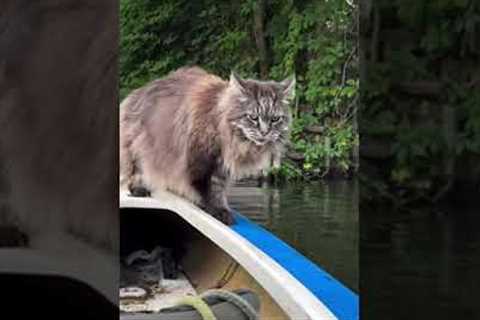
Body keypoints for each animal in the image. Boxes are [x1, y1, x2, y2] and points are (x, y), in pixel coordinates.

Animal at [119, 66, 296, 224]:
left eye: (275, 119)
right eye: (253, 117)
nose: (265, 132)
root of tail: (137, 92)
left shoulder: (221, 168)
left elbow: (218, 190)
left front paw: (221, 208)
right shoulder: (199, 161)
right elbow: (205, 189)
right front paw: (215, 210)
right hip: (140, 148)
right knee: (135, 171)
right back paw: (139, 189)